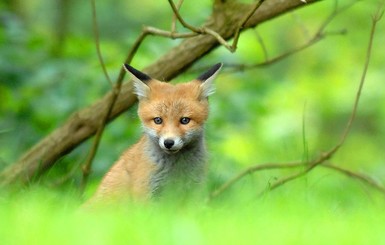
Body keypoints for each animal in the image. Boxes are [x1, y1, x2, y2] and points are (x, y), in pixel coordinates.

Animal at [85, 62, 222, 206]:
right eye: (158, 120)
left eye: (185, 120)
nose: (168, 143)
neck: (176, 169)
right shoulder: (146, 194)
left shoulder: (195, 191)